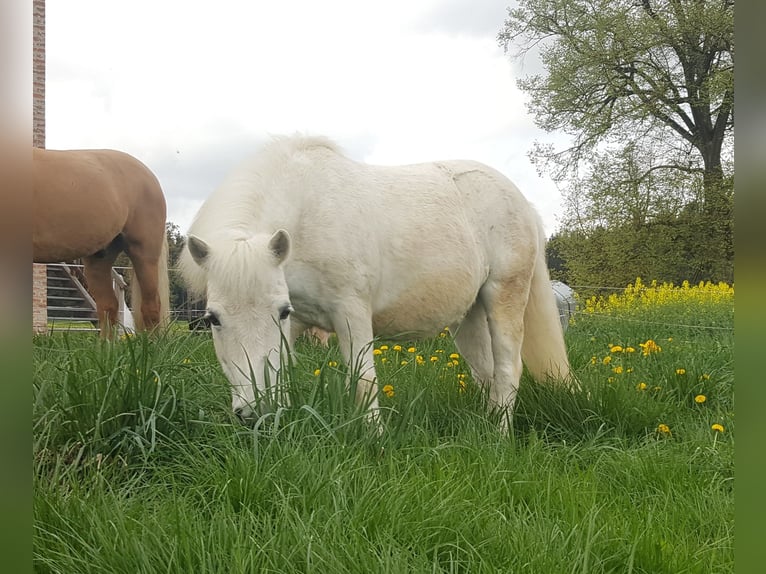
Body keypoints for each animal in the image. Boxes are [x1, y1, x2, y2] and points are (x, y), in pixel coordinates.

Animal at [180, 137, 572, 430]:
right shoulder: (299, 324)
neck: (307, 214)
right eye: (213, 319)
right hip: (469, 318)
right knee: (486, 372)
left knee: (507, 369)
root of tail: (523, 203)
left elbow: (364, 380)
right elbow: (282, 373)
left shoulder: (350, 312)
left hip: (504, 296)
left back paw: (500, 435)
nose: (252, 412)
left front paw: (376, 440)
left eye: (280, 312)